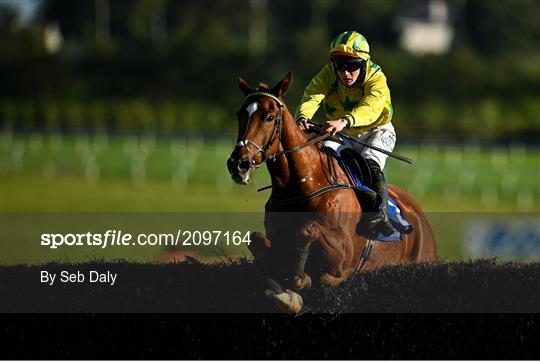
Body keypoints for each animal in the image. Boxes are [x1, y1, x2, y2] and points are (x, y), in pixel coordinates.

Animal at [226, 72, 436, 312]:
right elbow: (257, 240)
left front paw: (299, 281)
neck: (303, 184)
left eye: (269, 117)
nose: (238, 164)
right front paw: (283, 290)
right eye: (240, 115)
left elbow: (309, 231)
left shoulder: (343, 254)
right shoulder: (275, 237)